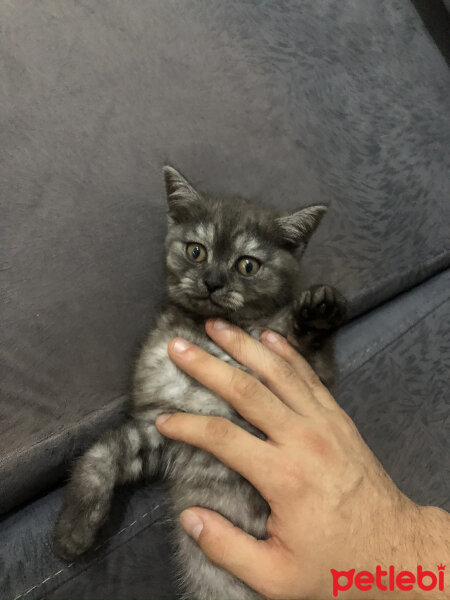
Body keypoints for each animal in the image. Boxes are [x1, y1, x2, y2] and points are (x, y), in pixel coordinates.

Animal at [53, 165, 348, 600]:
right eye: (196, 251)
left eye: (247, 265)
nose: (211, 282)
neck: (209, 333)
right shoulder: (163, 421)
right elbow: (99, 455)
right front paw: (72, 532)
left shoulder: (311, 373)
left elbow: (310, 348)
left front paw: (320, 308)